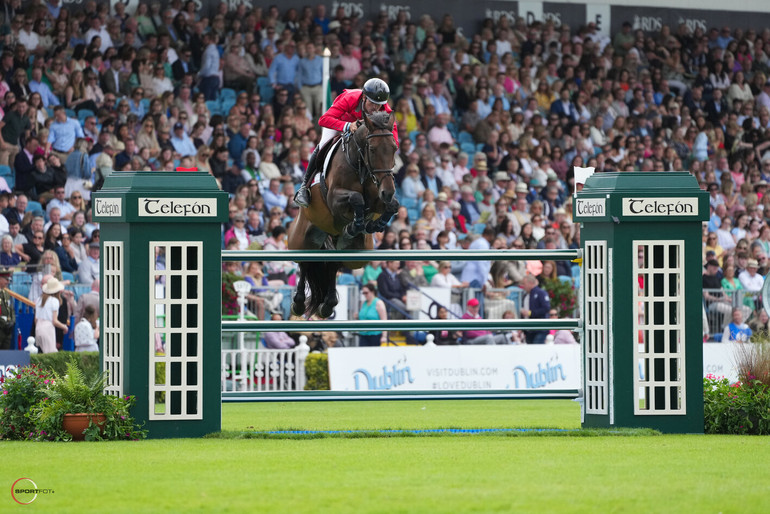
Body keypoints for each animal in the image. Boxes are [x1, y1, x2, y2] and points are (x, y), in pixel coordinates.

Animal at [284, 110, 400, 318]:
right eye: (372, 149)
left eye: (394, 148)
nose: (388, 191)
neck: (359, 163)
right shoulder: (334, 198)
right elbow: (356, 198)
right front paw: (356, 224)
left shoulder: (378, 195)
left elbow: (391, 206)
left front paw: (372, 224)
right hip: (301, 240)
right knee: (305, 262)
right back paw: (298, 303)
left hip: (352, 252)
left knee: (333, 264)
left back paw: (328, 305)